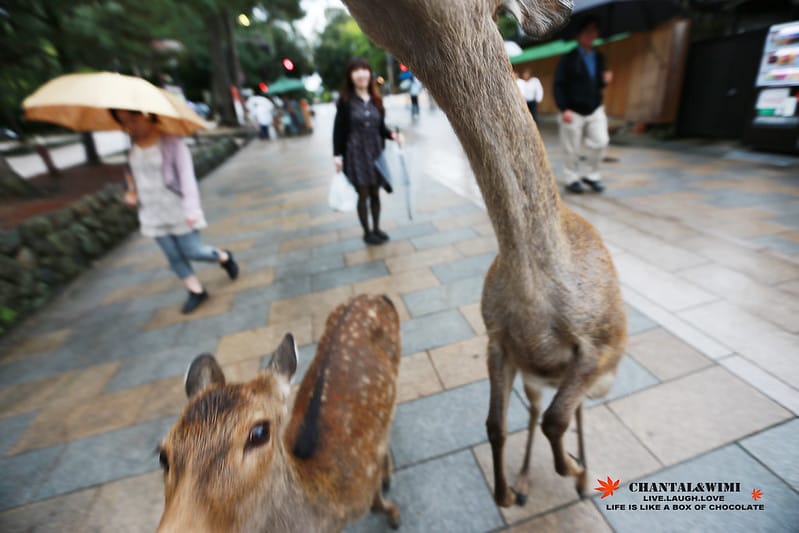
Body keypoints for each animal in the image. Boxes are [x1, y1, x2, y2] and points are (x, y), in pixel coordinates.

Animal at [342, 0, 626, 508]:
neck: (534, 291)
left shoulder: (600, 345)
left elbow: (558, 417)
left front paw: (575, 470)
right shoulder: (497, 339)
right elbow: (496, 423)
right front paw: (506, 492)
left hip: (593, 376)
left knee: (570, 413)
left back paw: (580, 478)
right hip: (537, 377)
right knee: (535, 412)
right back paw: (530, 479)